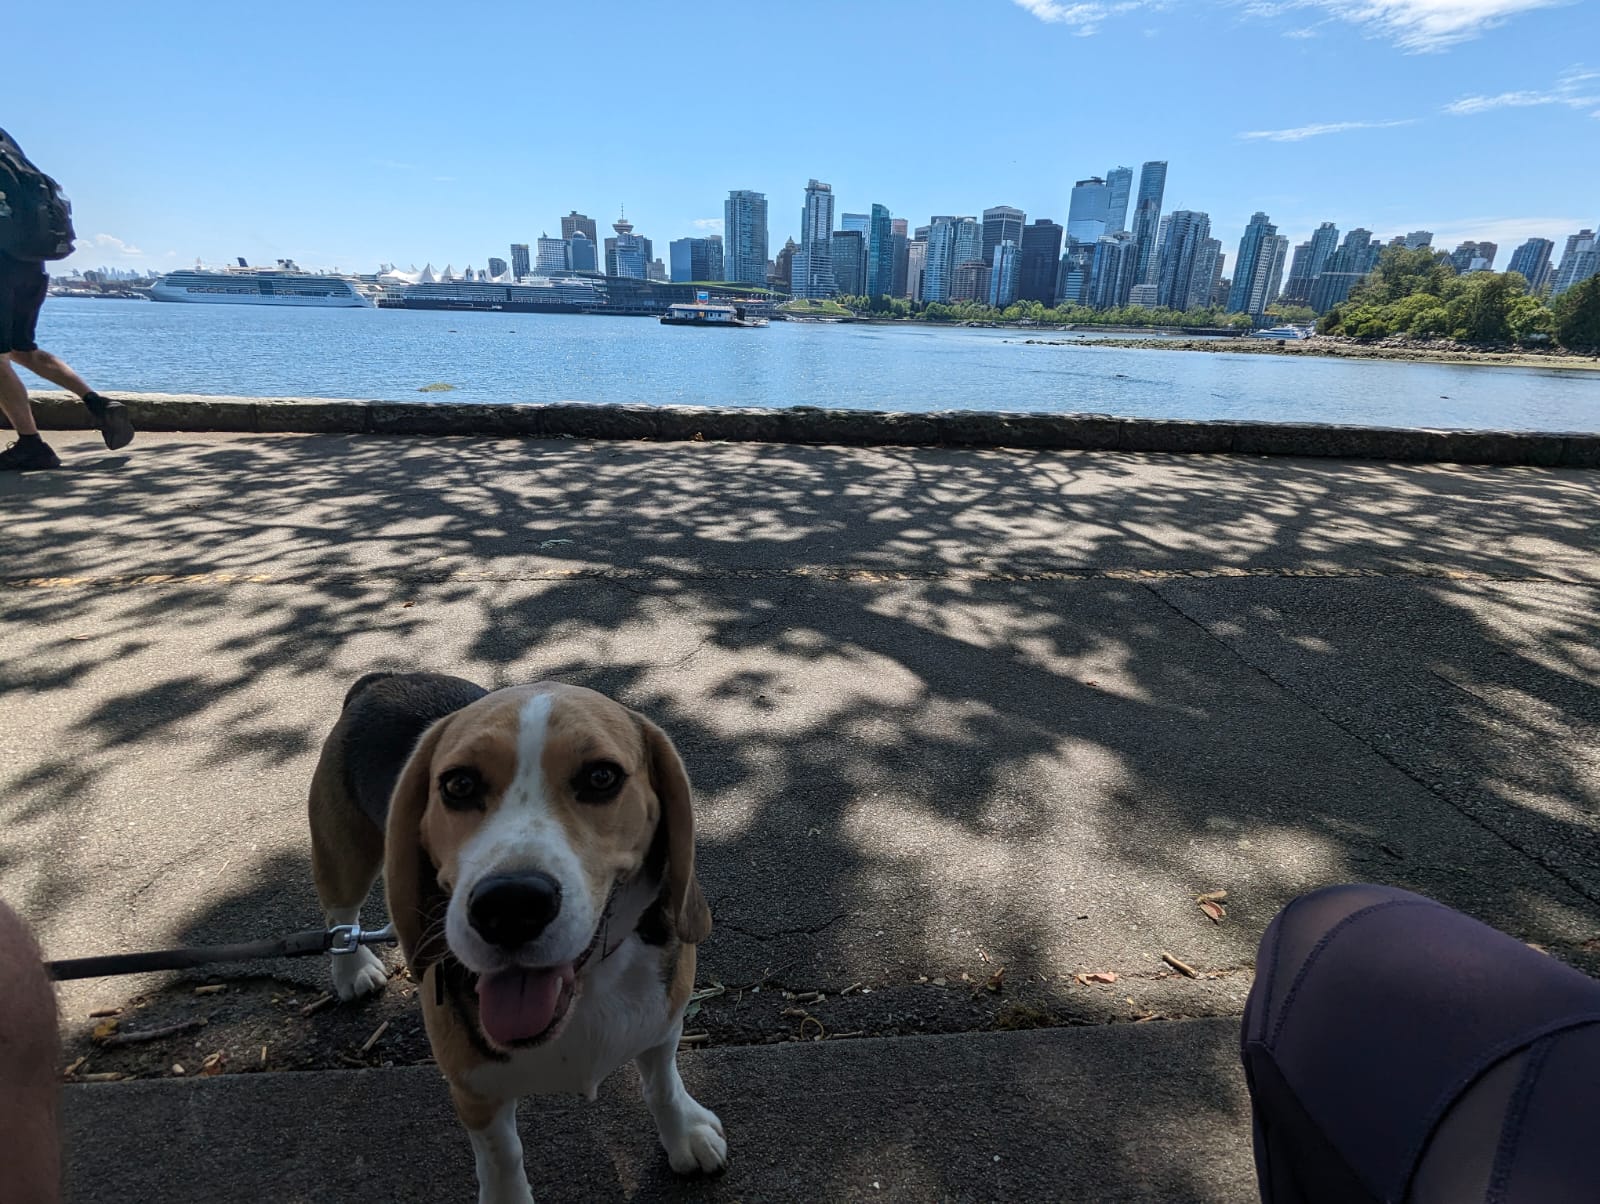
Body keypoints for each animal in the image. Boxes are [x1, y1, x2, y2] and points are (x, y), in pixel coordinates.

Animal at [307, 672, 732, 1197]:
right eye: (459, 784)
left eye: (602, 777)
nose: (510, 905)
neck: (586, 990)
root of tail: (386, 678)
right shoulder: (473, 1090)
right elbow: (503, 1156)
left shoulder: (663, 1019)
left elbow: (663, 1086)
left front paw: (684, 1135)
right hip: (342, 856)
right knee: (340, 914)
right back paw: (352, 969)